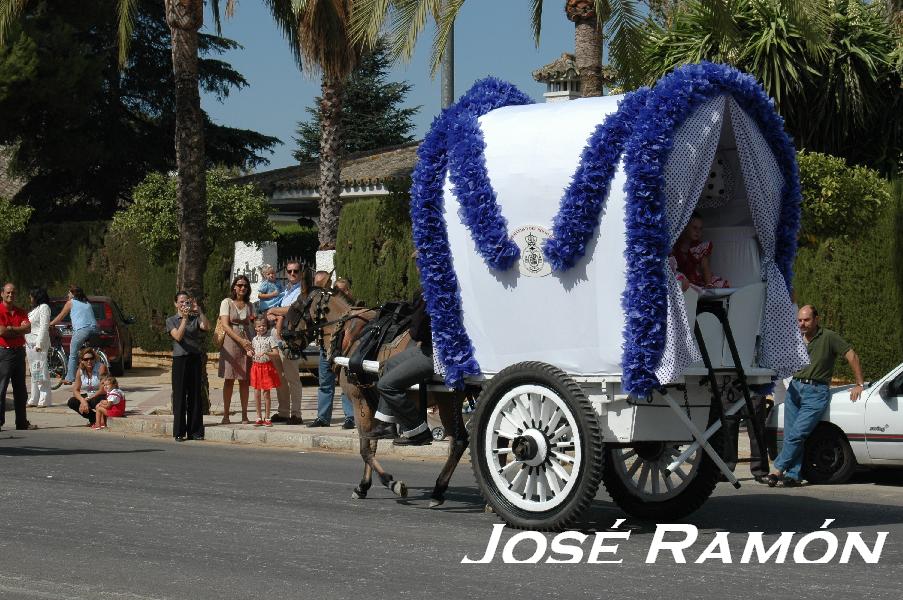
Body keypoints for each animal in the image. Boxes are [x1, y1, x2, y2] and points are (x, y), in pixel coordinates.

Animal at [286, 286, 474, 506]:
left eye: (296, 306)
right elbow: (372, 444)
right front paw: (364, 485)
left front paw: (390, 482)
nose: (283, 337)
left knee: (459, 442)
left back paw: (438, 489)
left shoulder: (359, 401)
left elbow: (365, 448)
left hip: (446, 400)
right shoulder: (370, 402)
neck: (352, 333)